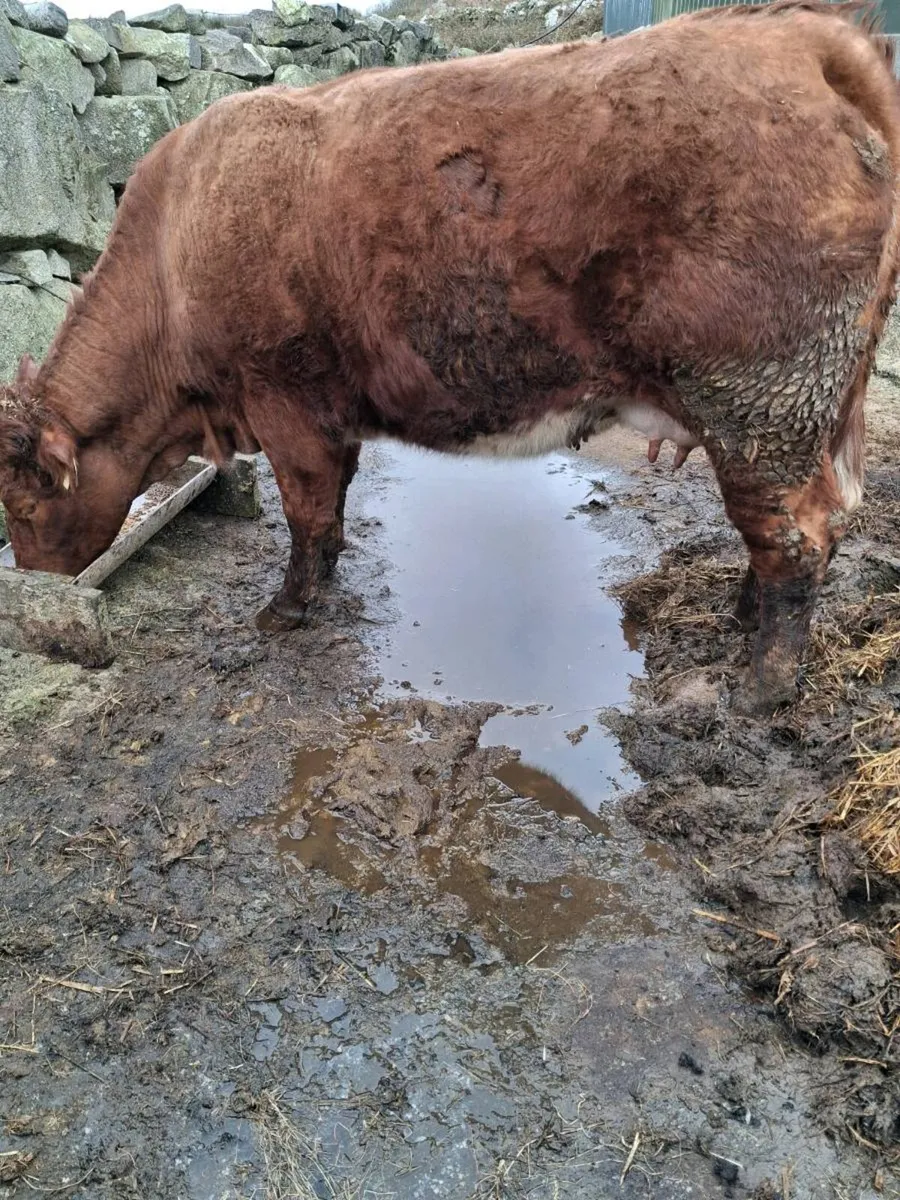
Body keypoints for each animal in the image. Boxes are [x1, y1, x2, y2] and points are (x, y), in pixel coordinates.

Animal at [0, 0, 898, 716]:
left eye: (24, 501)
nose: (35, 579)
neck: (175, 244)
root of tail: (802, 37)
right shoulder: (330, 412)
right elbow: (332, 508)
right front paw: (327, 580)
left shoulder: (282, 401)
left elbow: (305, 510)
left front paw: (287, 609)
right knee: (793, 535)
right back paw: (742, 624)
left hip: (763, 403)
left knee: (797, 538)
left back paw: (759, 684)